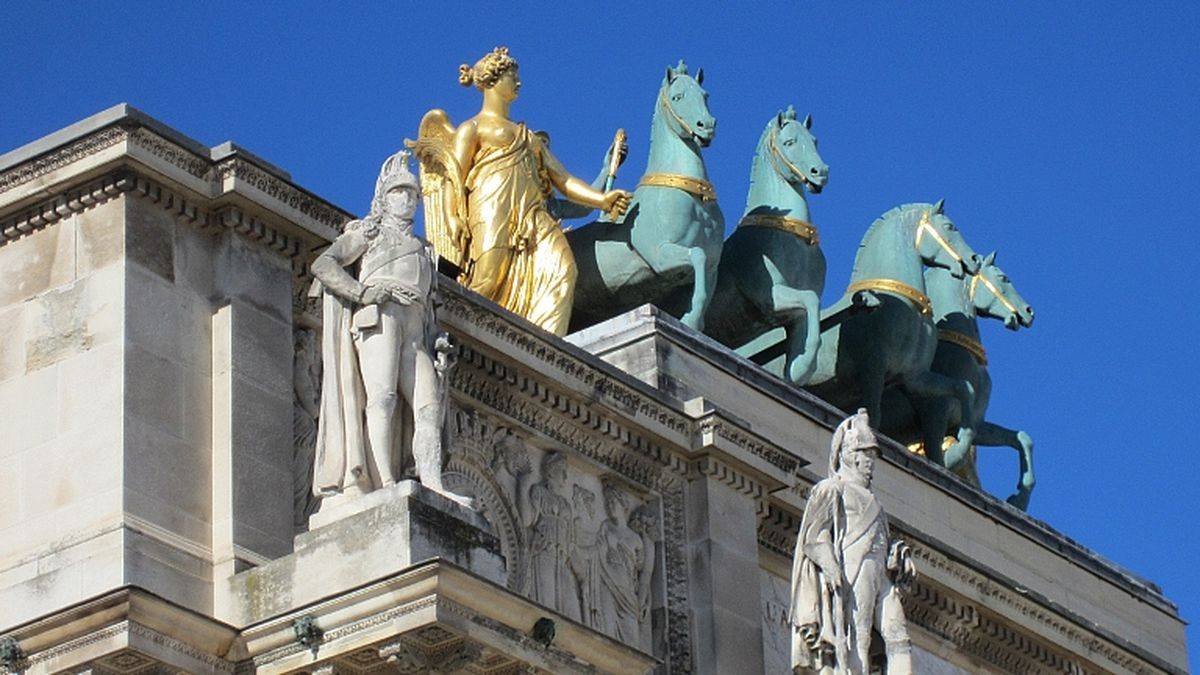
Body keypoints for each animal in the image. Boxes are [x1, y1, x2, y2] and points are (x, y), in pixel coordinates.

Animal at [568, 60, 724, 331]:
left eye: (705, 95)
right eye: (678, 96)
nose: (707, 127)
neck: (694, 197)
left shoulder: (713, 266)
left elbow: (704, 273)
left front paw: (694, 322)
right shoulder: (659, 256)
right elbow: (697, 254)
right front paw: (690, 318)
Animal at [705, 109, 830, 384]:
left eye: (815, 141)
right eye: (790, 142)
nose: (820, 172)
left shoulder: (793, 317)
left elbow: (809, 314)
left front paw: (798, 370)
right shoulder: (768, 297)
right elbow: (810, 298)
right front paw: (804, 364)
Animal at [801, 199, 979, 444]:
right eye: (950, 226)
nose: (974, 260)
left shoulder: (915, 378)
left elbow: (963, 388)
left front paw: (962, 440)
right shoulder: (873, 364)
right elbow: (873, 416)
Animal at [878, 254, 1036, 506]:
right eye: (1003, 277)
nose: (1029, 312)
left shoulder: (971, 422)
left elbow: (1021, 438)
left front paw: (1018, 498)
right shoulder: (935, 411)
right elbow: (942, 455)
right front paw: (950, 459)